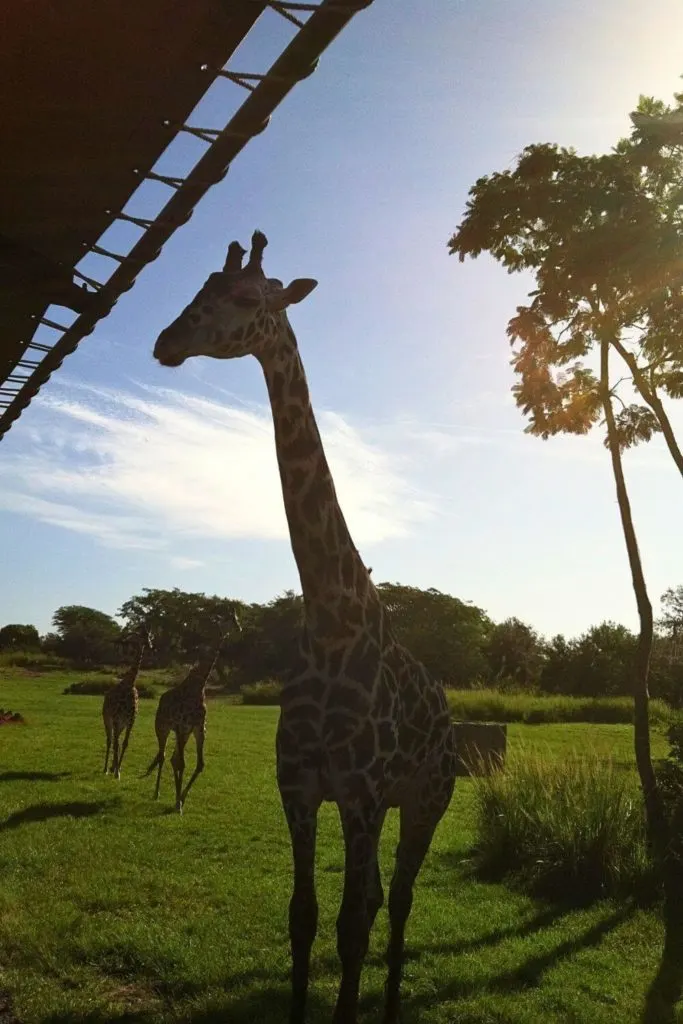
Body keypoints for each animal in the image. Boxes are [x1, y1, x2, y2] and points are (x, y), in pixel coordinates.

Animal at [102, 626, 151, 778]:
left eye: (149, 635)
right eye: (142, 635)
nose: (150, 645)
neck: (130, 683)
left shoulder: (130, 720)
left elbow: (125, 743)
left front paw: (118, 770)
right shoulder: (116, 718)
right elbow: (116, 743)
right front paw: (116, 772)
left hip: (121, 724)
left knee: (116, 739)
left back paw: (113, 767)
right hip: (107, 719)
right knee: (110, 740)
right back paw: (105, 769)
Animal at [143, 606, 241, 815]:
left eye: (237, 619)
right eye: (231, 619)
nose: (239, 628)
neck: (198, 685)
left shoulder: (198, 728)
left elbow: (199, 765)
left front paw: (181, 800)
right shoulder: (181, 726)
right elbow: (182, 763)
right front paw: (178, 803)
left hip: (184, 733)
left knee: (172, 758)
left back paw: (173, 797)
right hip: (162, 727)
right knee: (163, 756)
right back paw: (156, 793)